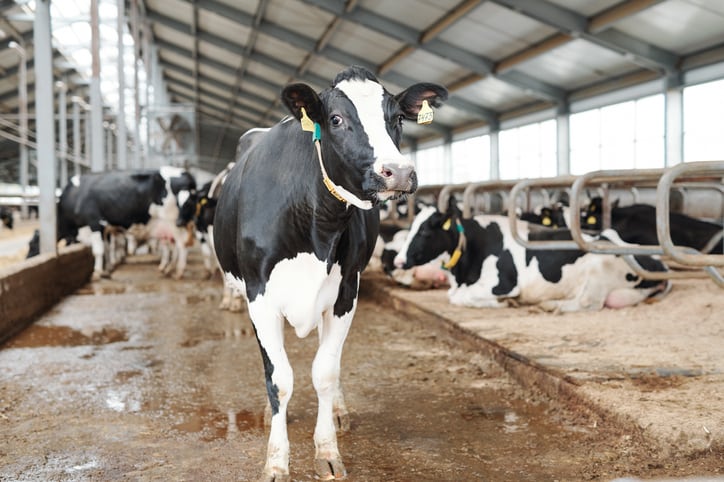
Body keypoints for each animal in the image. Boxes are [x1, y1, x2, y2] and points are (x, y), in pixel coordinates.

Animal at [213, 65, 447, 480]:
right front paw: (276, 461)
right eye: (336, 120)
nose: (399, 172)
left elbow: (324, 372)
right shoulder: (259, 296)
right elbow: (279, 379)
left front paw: (327, 451)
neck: (316, 225)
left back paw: (338, 410)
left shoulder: (345, 292)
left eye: (397, 118)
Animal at [393, 198, 671, 312]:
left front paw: (507, 303)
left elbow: (461, 298)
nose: (399, 260)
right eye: (411, 227)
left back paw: (549, 306)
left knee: (587, 302)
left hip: (598, 269)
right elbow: (453, 296)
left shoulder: (502, 284)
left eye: (425, 231)